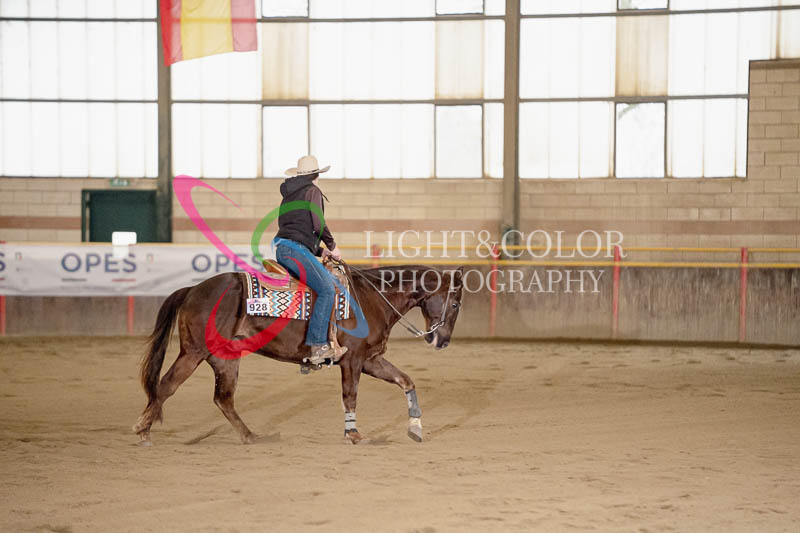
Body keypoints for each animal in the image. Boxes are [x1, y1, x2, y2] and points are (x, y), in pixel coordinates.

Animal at [133, 264, 464, 445]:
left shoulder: (370, 360)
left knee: (222, 399)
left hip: (225, 359)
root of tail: (191, 290)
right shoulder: (353, 360)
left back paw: (252, 437)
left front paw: (416, 429)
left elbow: (406, 381)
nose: (443, 341)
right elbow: (350, 396)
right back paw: (143, 430)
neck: (372, 298)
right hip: (194, 352)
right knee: (166, 386)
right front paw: (354, 435)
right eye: (456, 303)